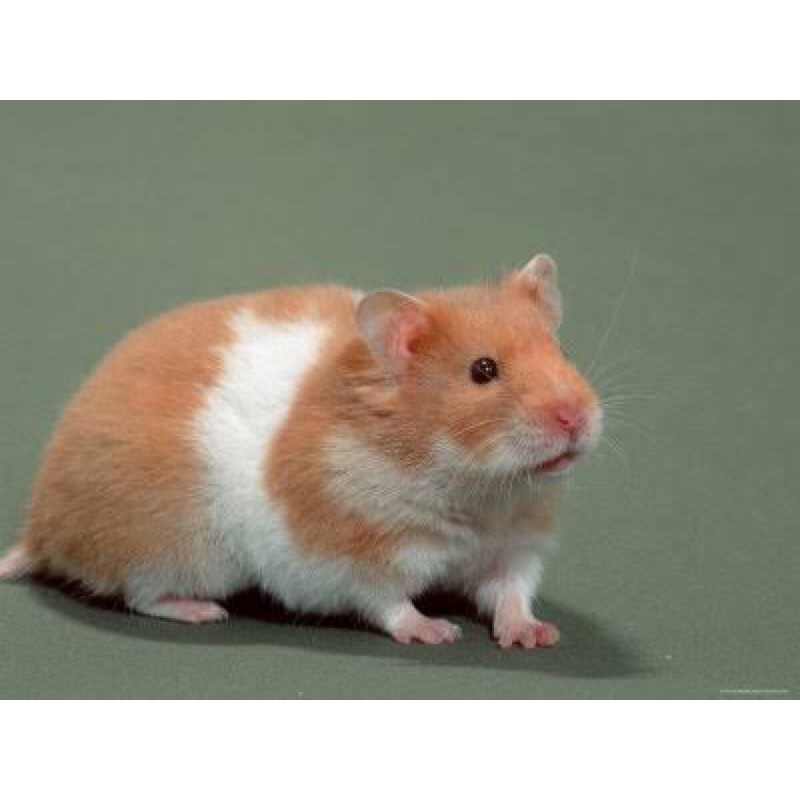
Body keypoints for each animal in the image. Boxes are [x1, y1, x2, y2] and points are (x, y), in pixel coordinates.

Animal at [0, 254, 602, 647]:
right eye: (483, 370)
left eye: (564, 352)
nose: (577, 418)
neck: (477, 488)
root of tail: (43, 528)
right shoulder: (350, 558)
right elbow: (389, 603)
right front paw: (438, 632)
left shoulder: (512, 549)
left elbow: (510, 594)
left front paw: (537, 636)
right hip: (180, 551)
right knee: (140, 595)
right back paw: (205, 613)